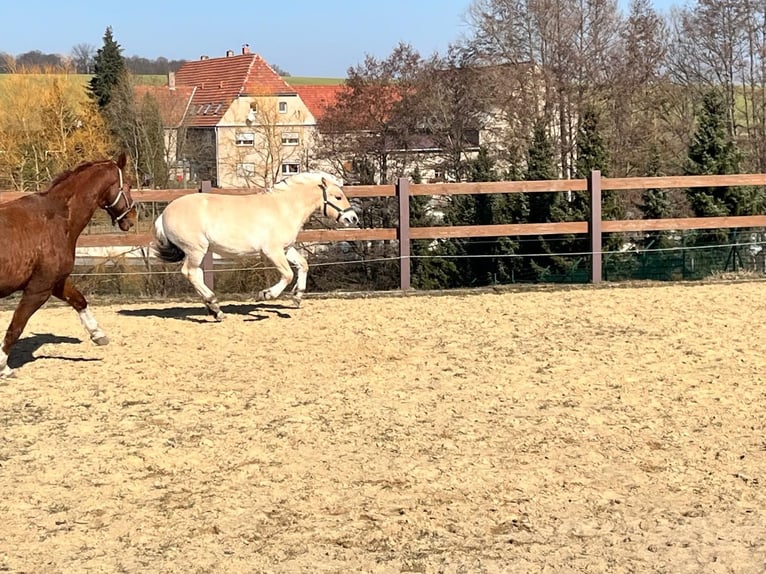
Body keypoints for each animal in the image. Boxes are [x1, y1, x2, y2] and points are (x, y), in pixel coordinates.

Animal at [0, 153, 136, 378]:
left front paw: (98, 334)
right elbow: (16, 326)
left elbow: (79, 300)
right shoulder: (38, 289)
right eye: (130, 185)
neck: (57, 219)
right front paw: (4, 367)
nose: (132, 219)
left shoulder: (57, 282)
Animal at [156, 173, 364, 322]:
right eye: (338, 197)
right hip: (196, 249)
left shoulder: (286, 248)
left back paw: (215, 310)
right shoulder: (272, 251)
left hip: (199, 251)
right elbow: (288, 274)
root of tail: (163, 215)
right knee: (190, 273)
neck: (284, 208)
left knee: (196, 274)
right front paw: (266, 294)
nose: (353, 218)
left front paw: (297, 297)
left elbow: (303, 265)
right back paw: (215, 307)